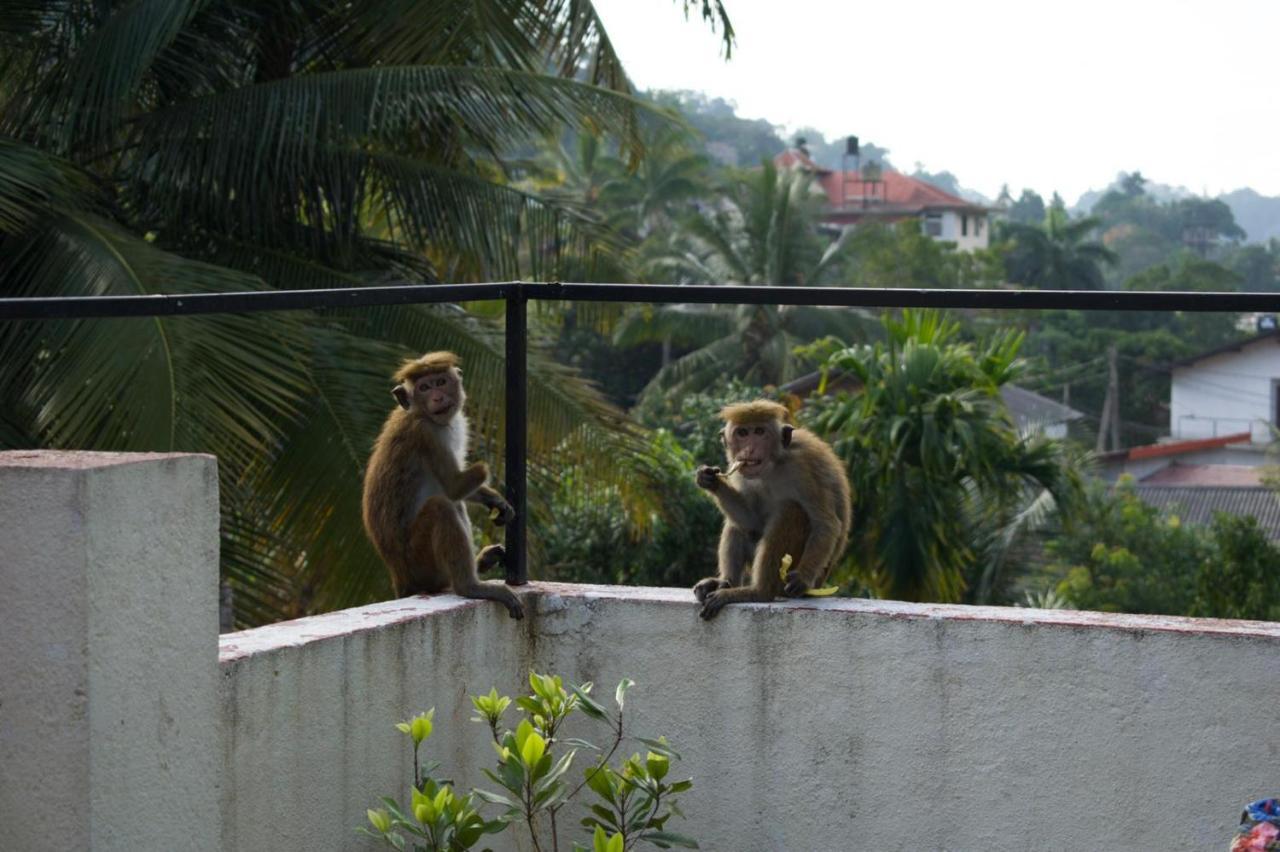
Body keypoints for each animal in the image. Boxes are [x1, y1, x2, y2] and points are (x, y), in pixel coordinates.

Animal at [358, 350, 522, 616]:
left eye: (440, 382)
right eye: (424, 387)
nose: (437, 396)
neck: (420, 414)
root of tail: (400, 579)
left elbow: (461, 492)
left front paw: (494, 499)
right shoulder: (425, 434)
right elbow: (454, 486)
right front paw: (485, 464)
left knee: (453, 505)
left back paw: (478, 564)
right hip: (420, 563)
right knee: (441, 507)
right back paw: (470, 586)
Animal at [691, 399, 849, 616]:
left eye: (759, 431)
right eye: (742, 433)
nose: (749, 449)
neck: (774, 465)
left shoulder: (803, 468)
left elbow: (826, 523)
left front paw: (802, 576)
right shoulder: (739, 470)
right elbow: (751, 521)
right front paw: (710, 480)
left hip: (794, 579)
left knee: (791, 510)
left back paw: (758, 592)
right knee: (738, 525)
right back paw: (725, 583)